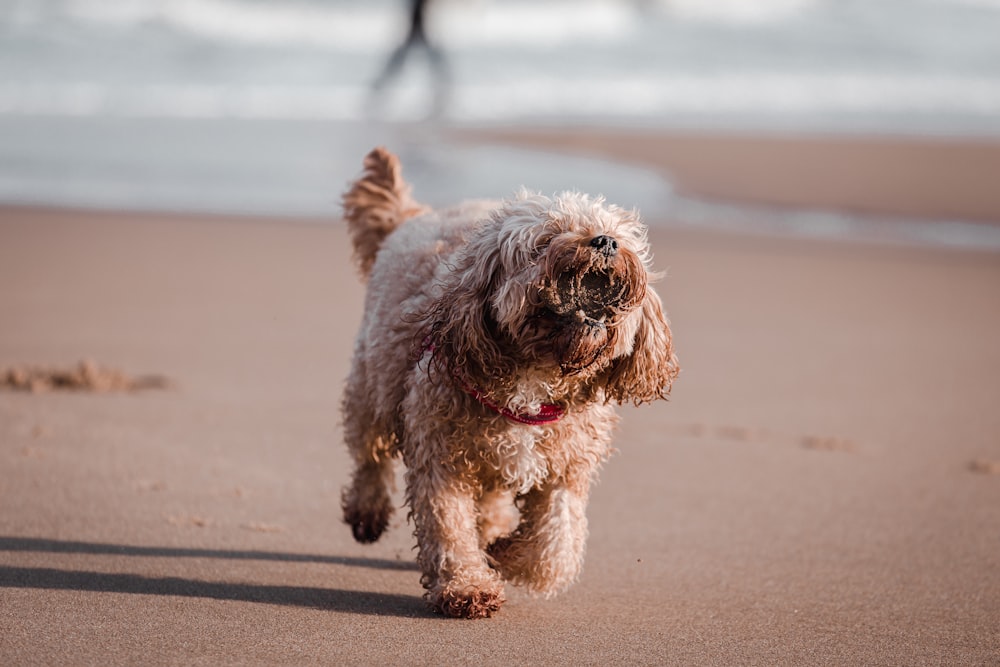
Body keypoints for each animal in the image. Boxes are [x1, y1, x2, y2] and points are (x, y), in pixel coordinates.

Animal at [340, 149, 676, 620]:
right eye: (546, 238)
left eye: (612, 231)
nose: (605, 242)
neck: (537, 378)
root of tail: (414, 216)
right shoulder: (440, 458)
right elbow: (448, 527)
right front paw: (468, 585)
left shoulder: (566, 469)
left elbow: (555, 549)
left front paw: (504, 553)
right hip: (373, 381)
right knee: (369, 452)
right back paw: (367, 510)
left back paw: (493, 529)